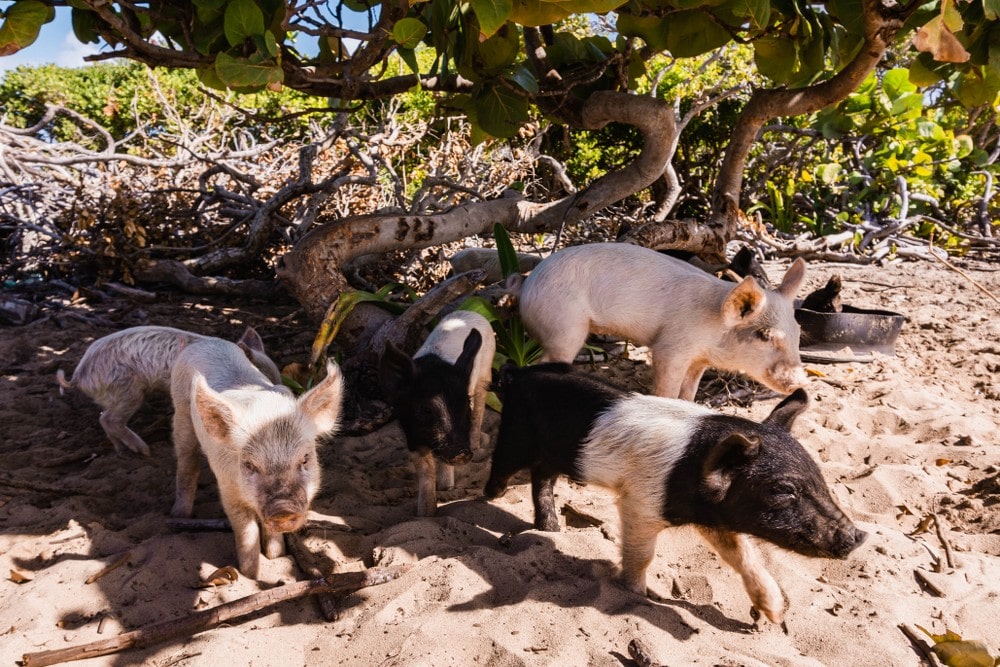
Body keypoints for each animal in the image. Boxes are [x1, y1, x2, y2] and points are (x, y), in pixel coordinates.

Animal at [57, 324, 282, 460]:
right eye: (263, 374)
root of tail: (79, 374)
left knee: (103, 417)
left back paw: (120, 450)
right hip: (127, 389)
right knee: (109, 419)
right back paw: (144, 451)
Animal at [172, 340, 344, 580]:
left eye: (305, 458)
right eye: (249, 465)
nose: (283, 507)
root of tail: (202, 342)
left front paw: (276, 556)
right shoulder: (228, 488)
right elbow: (246, 530)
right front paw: (251, 575)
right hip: (181, 412)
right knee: (186, 462)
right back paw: (180, 516)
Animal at [378, 310, 496, 520]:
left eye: (465, 407)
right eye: (426, 410)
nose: (462, 452)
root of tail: (471, 312)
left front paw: (447, 488)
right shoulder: (411, 436)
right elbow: (426, 470)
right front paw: (425, 514)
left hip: (485, 372)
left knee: (480, 407)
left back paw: (475, 444)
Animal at [480, 362, 864, 624]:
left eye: (819, 477)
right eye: (784, 489)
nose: (859, 536)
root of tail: (517, 374)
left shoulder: (714, 518)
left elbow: (743, 556)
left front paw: (773, 614)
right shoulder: (640, 502)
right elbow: (642, 556)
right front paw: (640, 596)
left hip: (554, 453)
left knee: (542, 476)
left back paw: (552, 529)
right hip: (514, 434)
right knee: (502, 466)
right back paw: (490, 499)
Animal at [520, 245, 808, 402]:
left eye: (798, 332)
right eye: (764, 335)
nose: (801, 382)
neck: (714, 332)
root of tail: (527, 286)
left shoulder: (698, 360)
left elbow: (689, 391)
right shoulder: (671, 347)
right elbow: (666, 389)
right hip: (564, 324)